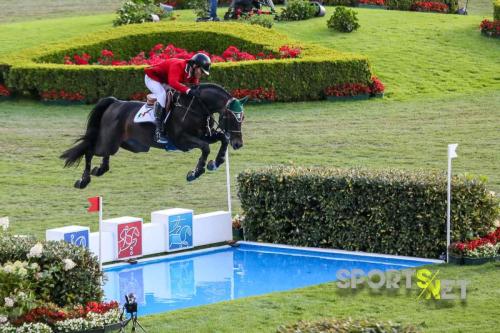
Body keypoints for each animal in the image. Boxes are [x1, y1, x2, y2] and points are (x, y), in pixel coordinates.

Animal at [60, 83, 246, 188]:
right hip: (108, 142)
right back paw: (83, 181)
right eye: (230, 117)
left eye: (242, 117)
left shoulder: (205, 135)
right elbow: (206, 148)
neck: (196, 107)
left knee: (102, 154)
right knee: (90, 151)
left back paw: (100, 169)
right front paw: (195, 173)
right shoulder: (182, 141)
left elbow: (222, 139)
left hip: (120, 143)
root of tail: (115, 103)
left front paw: (216, 162)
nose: (239, 144)